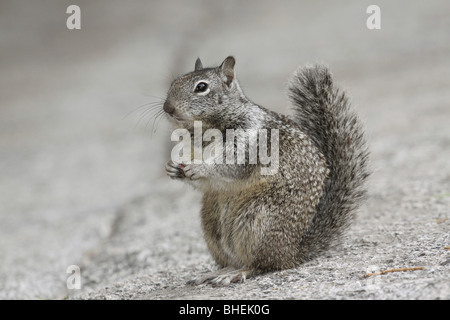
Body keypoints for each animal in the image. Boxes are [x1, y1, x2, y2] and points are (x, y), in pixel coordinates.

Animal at [162, 56, 370, 286]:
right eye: (173, 83)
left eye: (201, 87)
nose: (167, 107)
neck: (204, 132)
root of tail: (292, 252)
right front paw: (173, 168)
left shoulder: (250, 141)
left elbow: (229, 166)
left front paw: (198, 167)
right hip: (212, 223)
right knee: (235, 258)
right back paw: (218, 272)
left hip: (256, 220)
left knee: (261, 264)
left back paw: (237, 273)